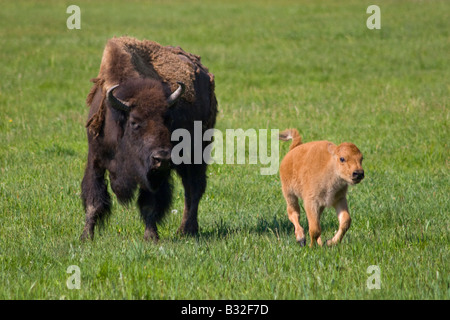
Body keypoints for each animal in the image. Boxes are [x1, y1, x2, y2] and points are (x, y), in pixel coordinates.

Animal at [80, 37, 218, 241]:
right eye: (134, 122)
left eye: (168, 119)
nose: (162, 158)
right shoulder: (95, 161)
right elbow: (94, 201)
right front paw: (86, 237)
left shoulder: (155, 174)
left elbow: (150, 204)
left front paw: (151, 237)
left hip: (197, 154)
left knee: (194, 188)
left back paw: (187, 230)